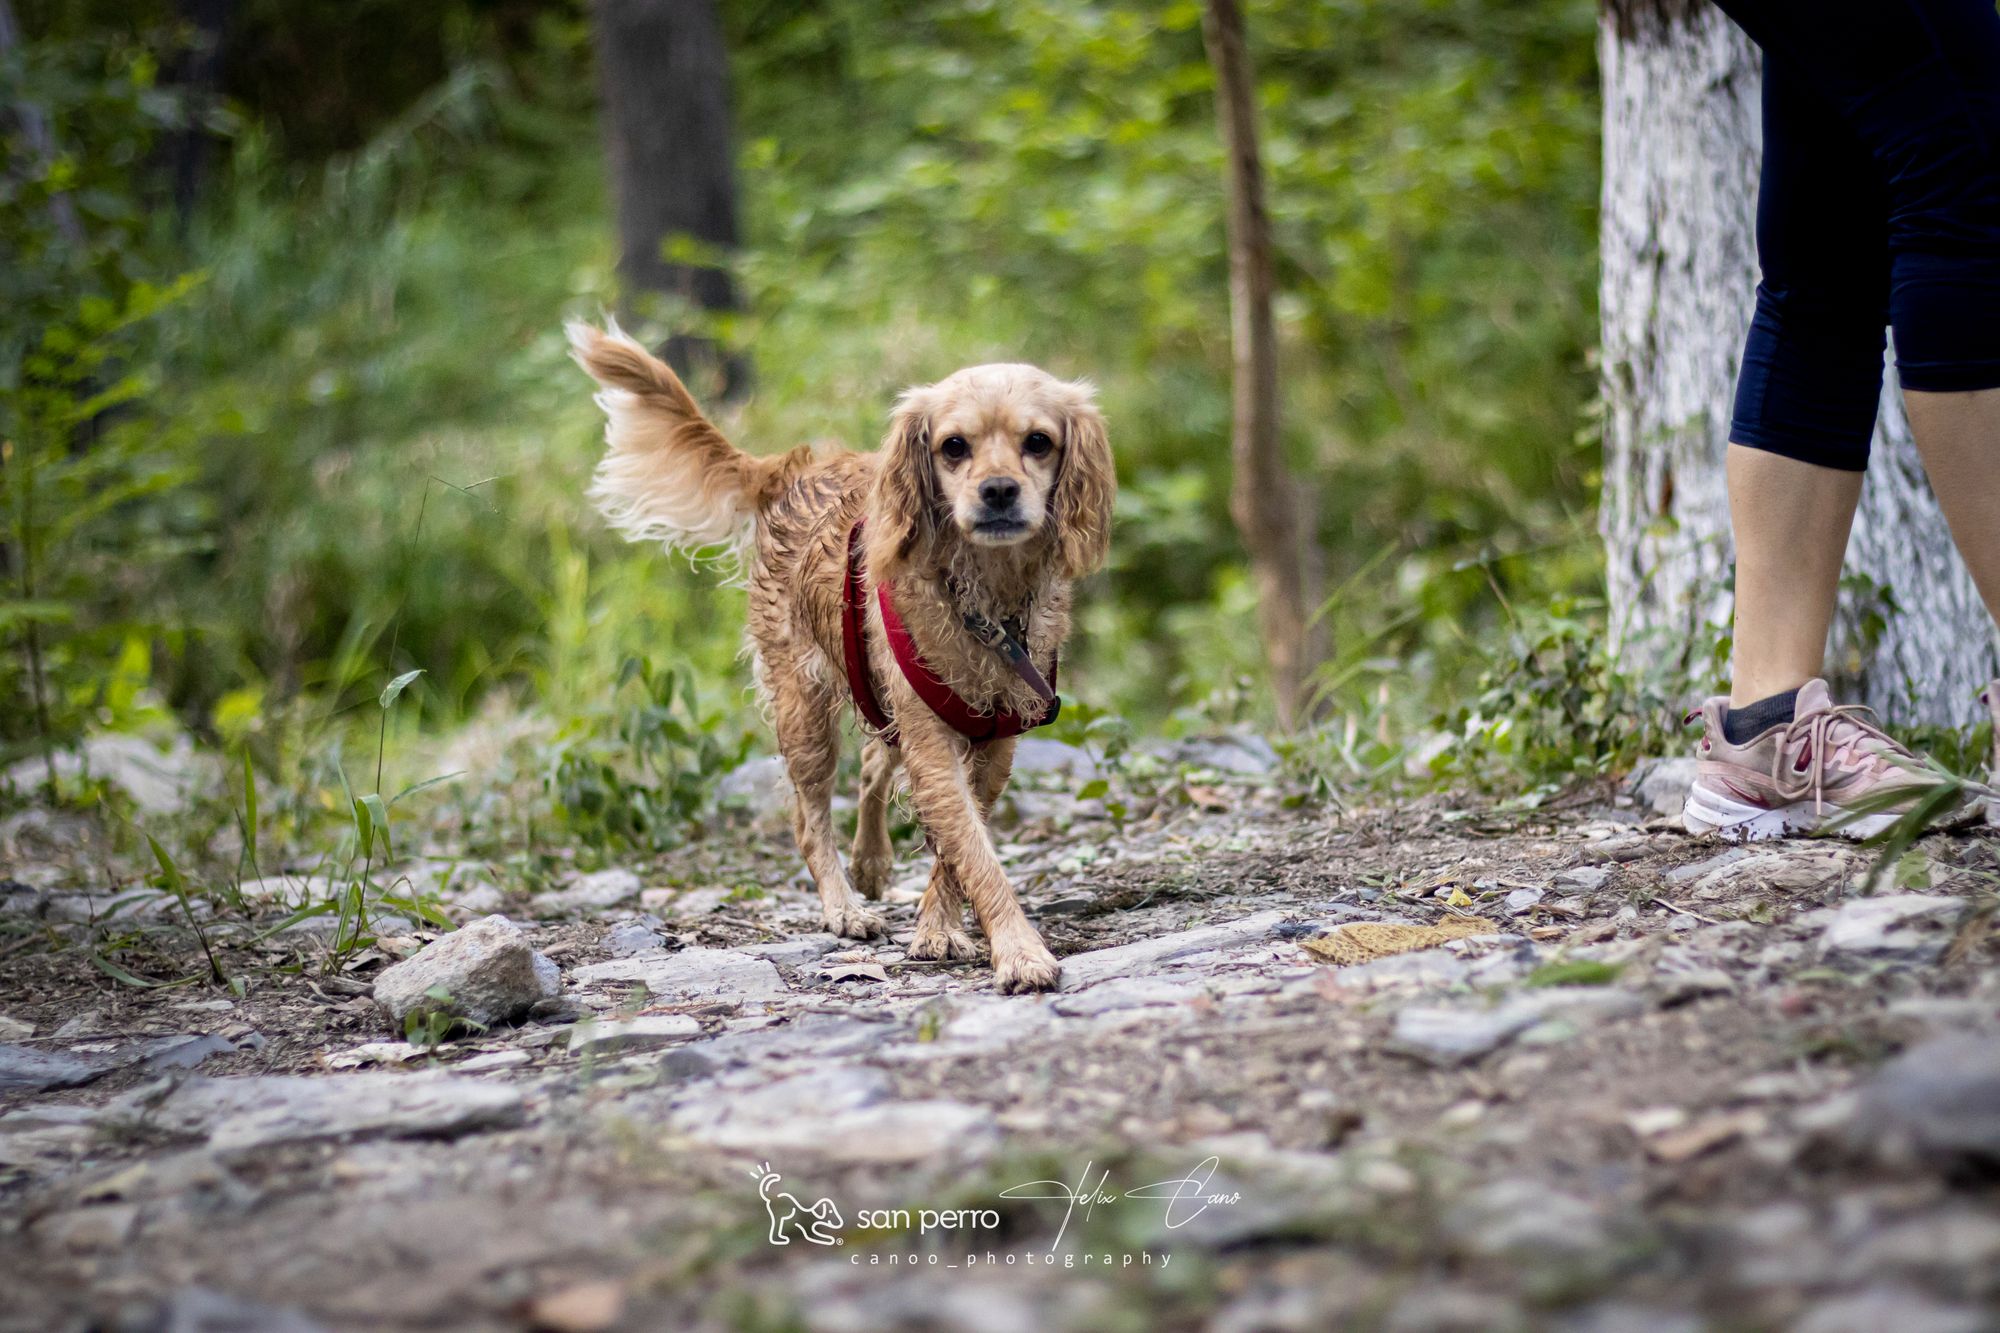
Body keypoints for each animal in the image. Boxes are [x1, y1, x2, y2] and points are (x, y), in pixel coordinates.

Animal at [572, 322, 1120, 984]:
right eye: (954, 447)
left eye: (1038, 442)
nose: (997, 491)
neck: (986, 596)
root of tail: (796, 468)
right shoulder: (932, 740)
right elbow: (974, 852)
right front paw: (1018, 950)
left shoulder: (995, 744)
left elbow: (957, 847)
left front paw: (938, 926)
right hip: (805, 713)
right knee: (810, 821)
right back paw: (844, 907)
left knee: (871, 763)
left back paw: (872, 862)